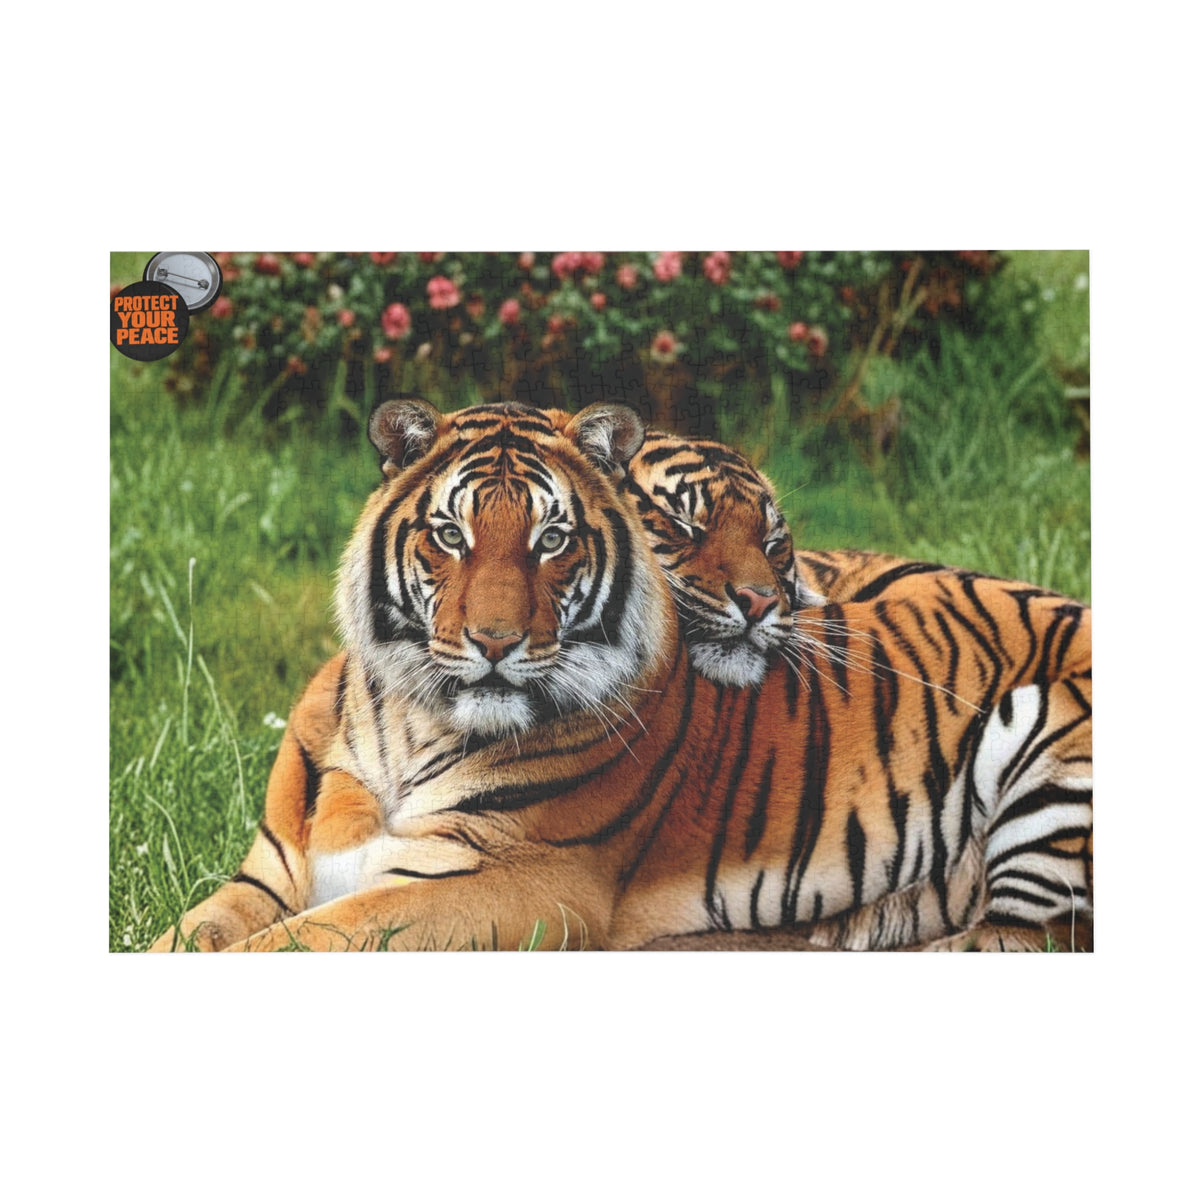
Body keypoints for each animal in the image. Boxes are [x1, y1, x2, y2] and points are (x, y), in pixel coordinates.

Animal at [150, 399, 1092, 952]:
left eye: (552, 540)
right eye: (452, 535)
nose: (495, 642)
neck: (406, 724)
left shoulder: (506, 885)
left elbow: (298, 943)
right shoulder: (264, 877)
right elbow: (185, 937)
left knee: (1017, 941)